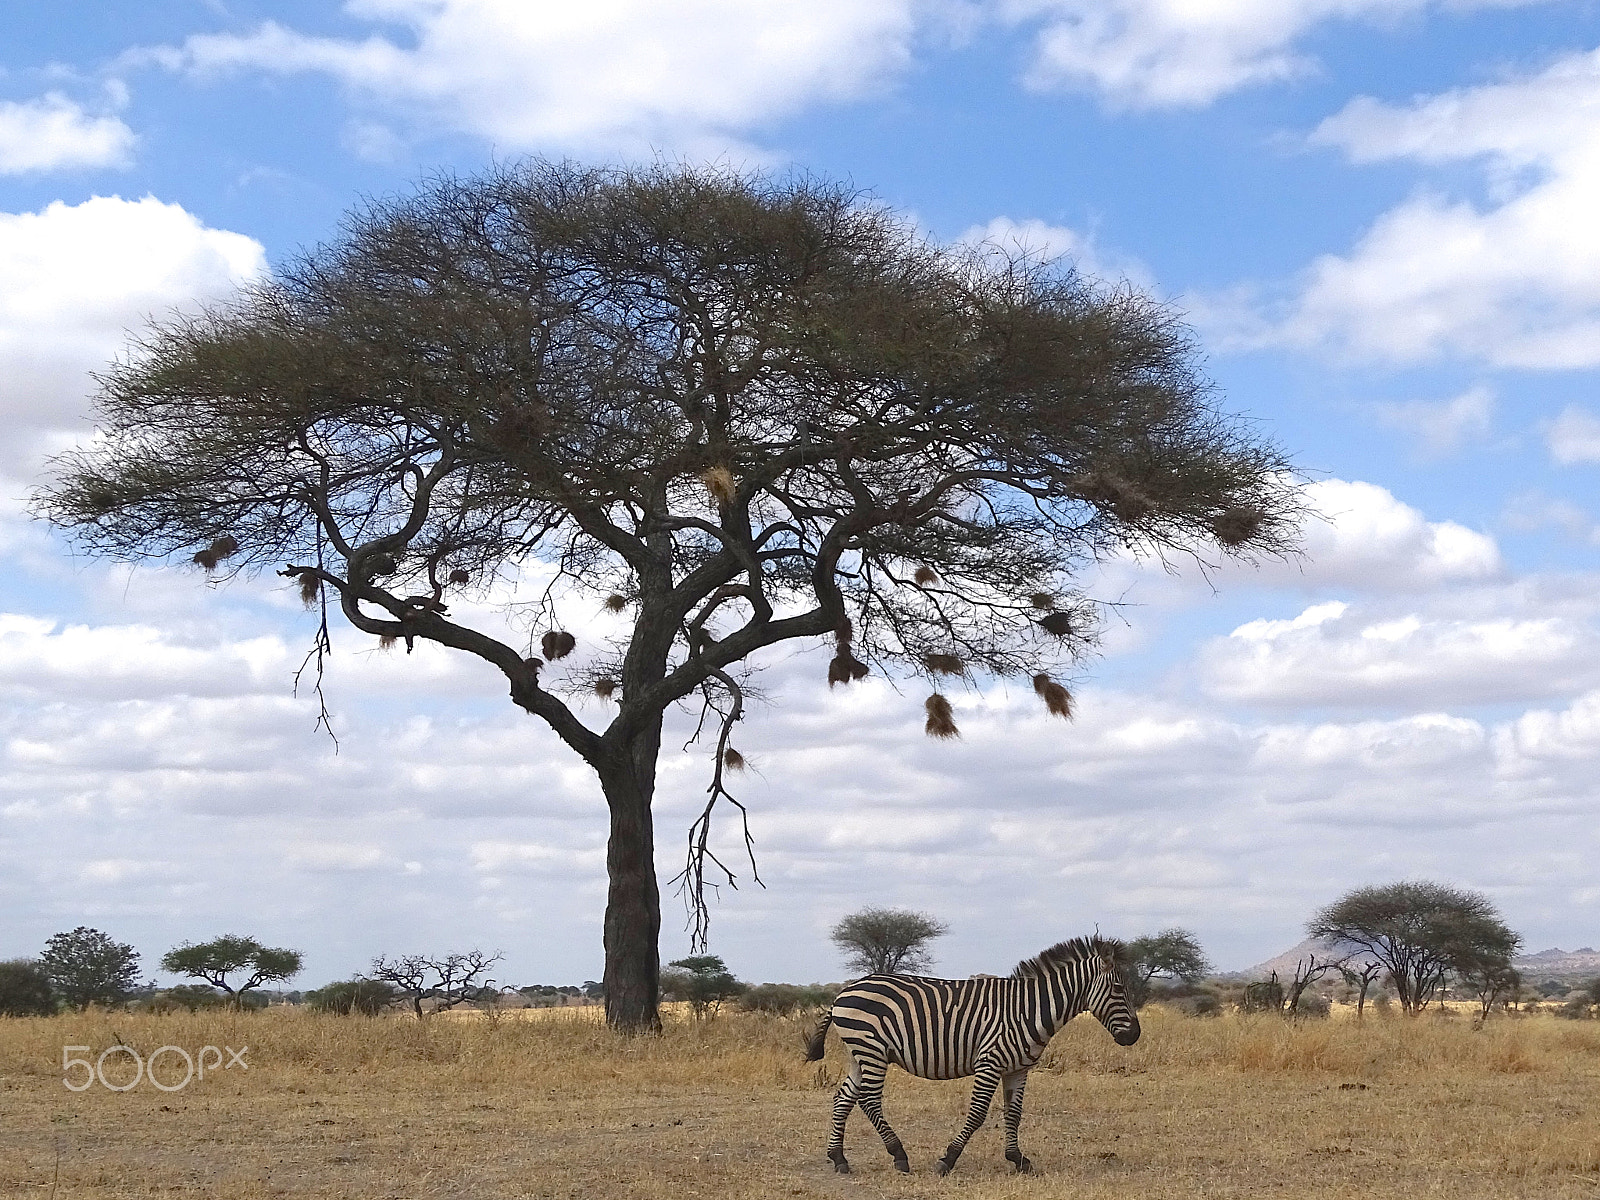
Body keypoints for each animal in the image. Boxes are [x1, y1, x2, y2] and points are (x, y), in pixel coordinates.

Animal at [800, 934, 1139, 1177]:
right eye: (1118, 989)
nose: (1134, 1036)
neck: (1029, 1009)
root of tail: (843, 992)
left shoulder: (1018, 1068)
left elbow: (1014, 1114)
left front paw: (1018, 1159)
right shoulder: (989, 1062)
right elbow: (977, 1114)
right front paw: (947, 1160)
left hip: (858, 1053)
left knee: (843, 1097)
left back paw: (839, 1159)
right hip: (872, 1051)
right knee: (868, 1100)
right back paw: (899, 1156)